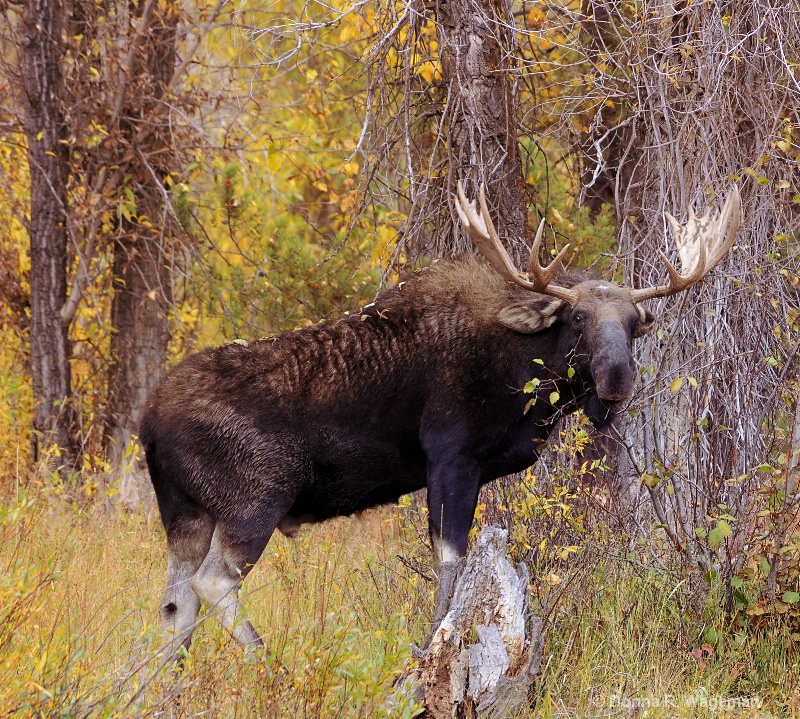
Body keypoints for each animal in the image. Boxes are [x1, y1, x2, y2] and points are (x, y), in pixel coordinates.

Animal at [141, 184, 740, 660]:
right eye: (577, 317)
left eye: (635, 322)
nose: (617, 378)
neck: (521, 377)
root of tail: (147, 423)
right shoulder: (452, 457)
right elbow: (451, 564)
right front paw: (433, 646)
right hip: (257, 498)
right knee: (212, 585)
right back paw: (271, 665)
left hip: (186, 511)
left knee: (175, 603)